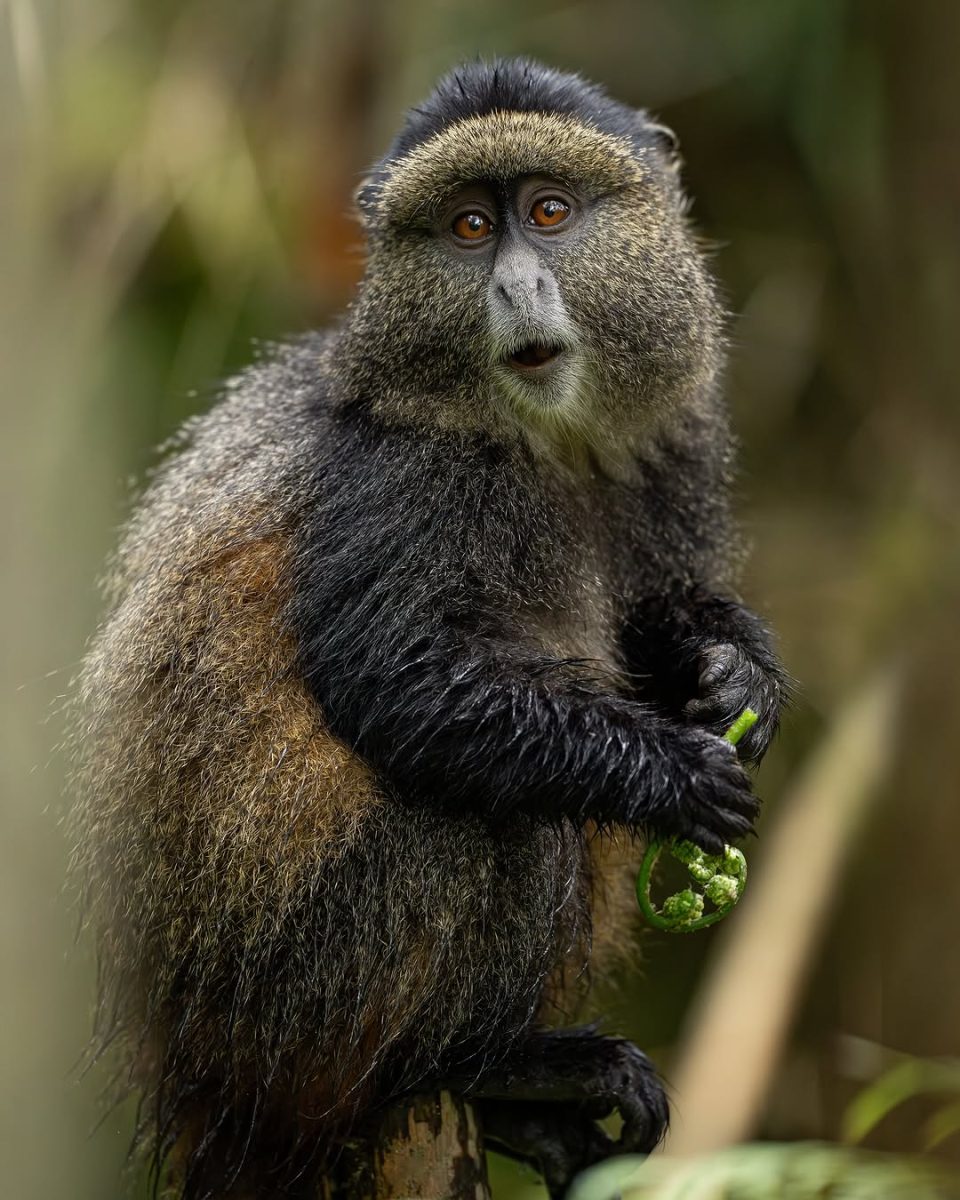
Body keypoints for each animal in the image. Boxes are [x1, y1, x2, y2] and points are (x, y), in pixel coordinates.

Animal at [70, 58, 784, 1199]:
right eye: (466, 228)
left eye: (549, 212)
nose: (514, 286)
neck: (546, 442)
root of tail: (194, 1084)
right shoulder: (401, 478)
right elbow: (393, 677)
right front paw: (670, 771)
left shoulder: (675, 439)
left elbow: (653, 617)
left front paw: (737, 672)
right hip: (310, 1007)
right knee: (514, 820)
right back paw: (489, 1066)